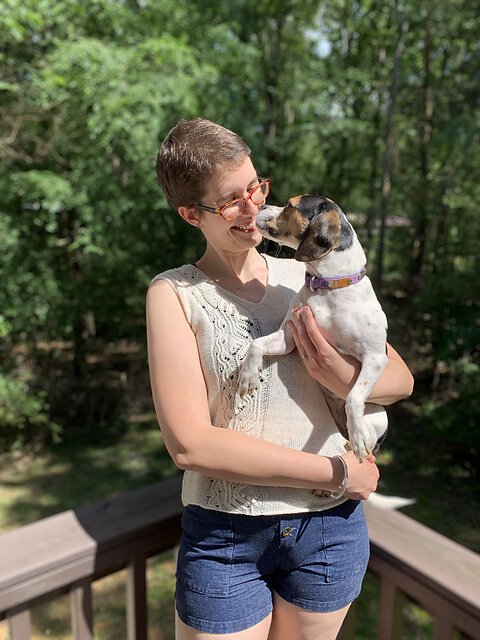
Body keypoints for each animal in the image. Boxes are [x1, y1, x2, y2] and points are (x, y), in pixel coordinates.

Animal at [238, 195, 389, 462]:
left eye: (290, 205)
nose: (262, 205)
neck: (327, 287)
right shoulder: (289, 337)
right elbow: (257, 343)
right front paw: (248, 375)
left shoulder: (376, 357)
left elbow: (353, 397)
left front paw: (358, 436)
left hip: (378, 414)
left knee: (364, 433)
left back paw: (358, 439)